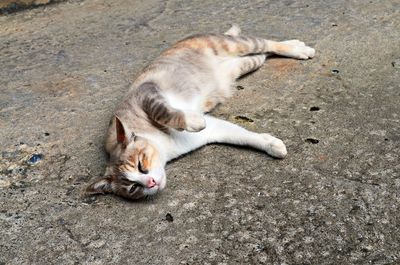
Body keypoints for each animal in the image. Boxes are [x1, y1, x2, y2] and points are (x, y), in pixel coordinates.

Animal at [85, 24, 316, 199]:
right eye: (133, 187)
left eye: (141, 166)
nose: (150, 182)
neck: (164, 145)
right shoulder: (212, 131)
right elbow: (243, 136)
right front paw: (270, 144)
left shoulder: (147, 92)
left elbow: (164, 112)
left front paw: (193, 121)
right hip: (246, 64)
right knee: (263, 54)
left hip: (233, 44)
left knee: (265, 43)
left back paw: (297, 48)